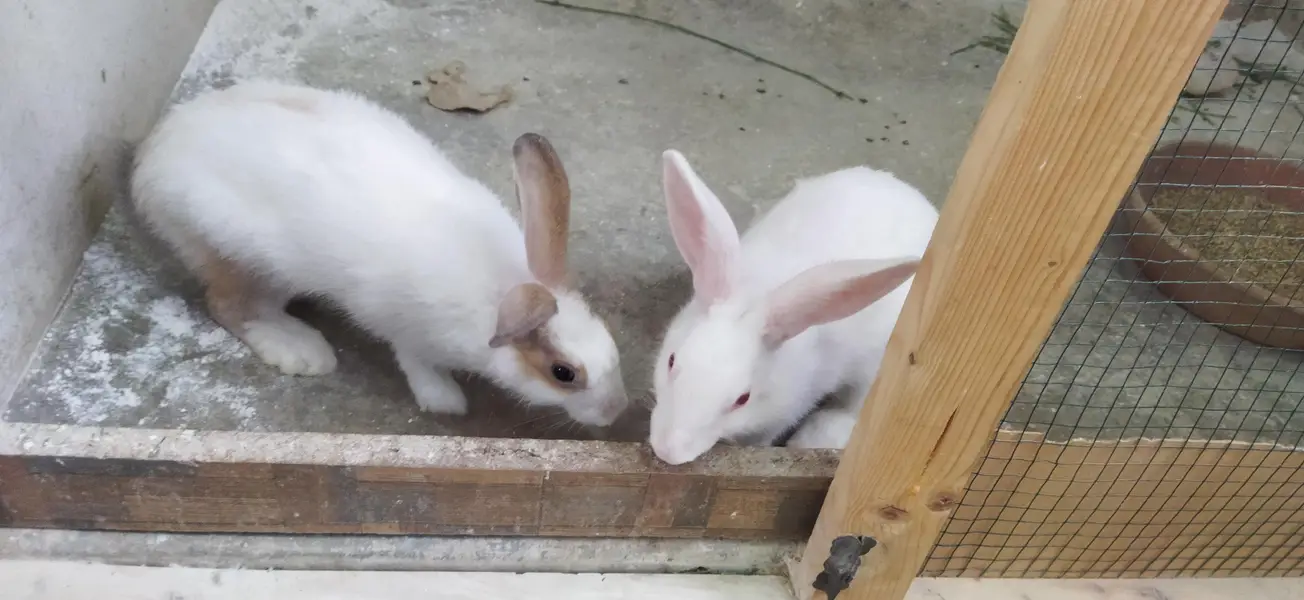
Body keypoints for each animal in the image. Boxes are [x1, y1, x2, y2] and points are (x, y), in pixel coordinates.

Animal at [129, 80, 628, 426]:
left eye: (611, 342)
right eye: (563, 373)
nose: (614, 411)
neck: (499, 294)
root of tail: (151, 158)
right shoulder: (405, 328)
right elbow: (415, 361)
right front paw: (444, 401)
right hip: (243, 255)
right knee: (229, 305)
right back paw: (301, 350)